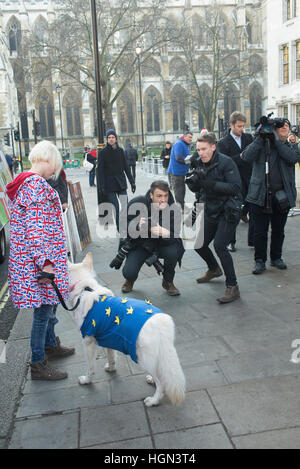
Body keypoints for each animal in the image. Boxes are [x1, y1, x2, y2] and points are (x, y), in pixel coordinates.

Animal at [68, 252, 185, 406]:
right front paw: (111, 369)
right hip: (158, 353)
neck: (84, 288)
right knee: (161, 373)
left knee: (162, 383)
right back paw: (152, 381)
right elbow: (112, 357)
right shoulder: (107, 337)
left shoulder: (88, 342)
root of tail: (159, 322)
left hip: (141, 357)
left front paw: (86, 380)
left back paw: (153, 400)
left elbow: (90, 367)